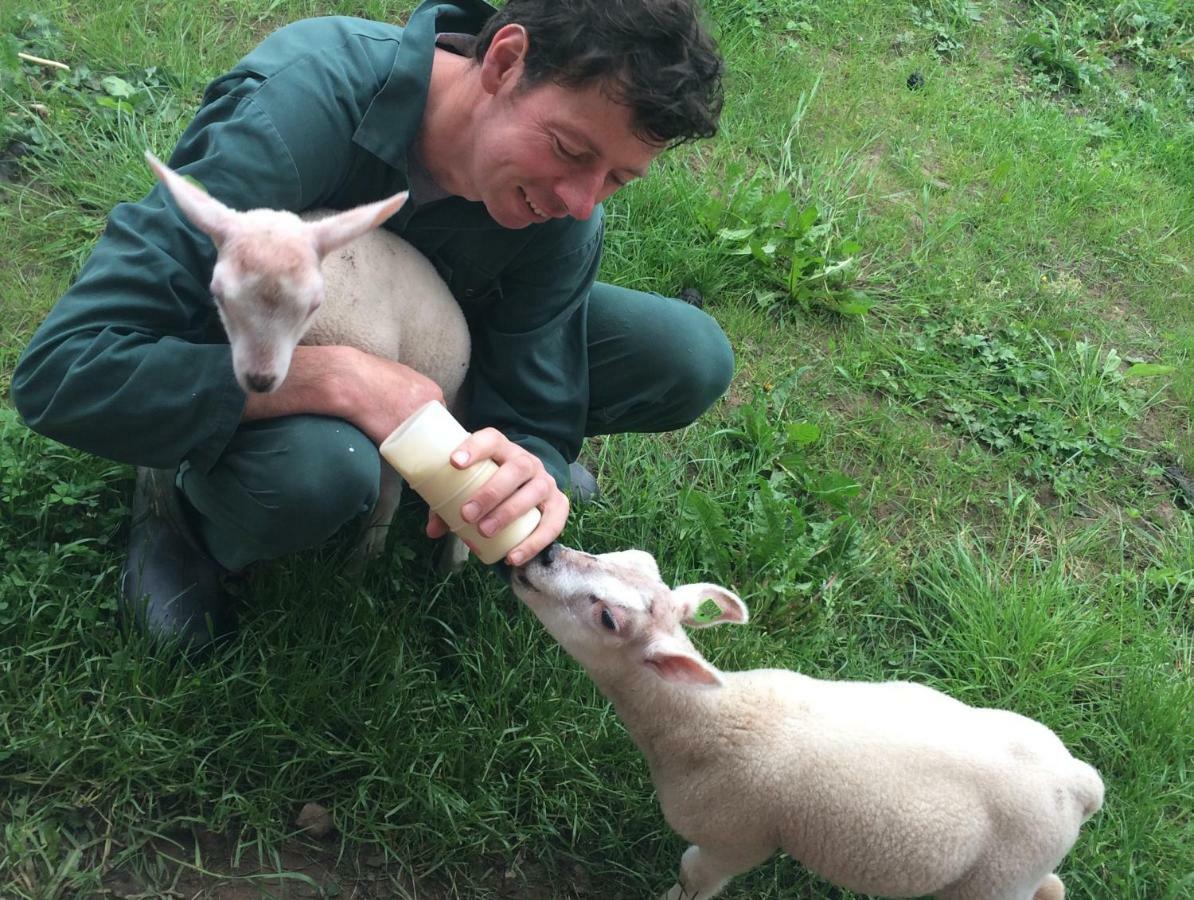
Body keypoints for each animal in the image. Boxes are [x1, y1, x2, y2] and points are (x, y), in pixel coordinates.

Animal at [508, 539, 1103, 897]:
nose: (543, 555)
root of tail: (1079, 784)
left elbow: (694, 878)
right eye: (632, 557)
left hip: (995, 879)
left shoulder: (732, 838)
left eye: (608, 618)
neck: (707, 718)